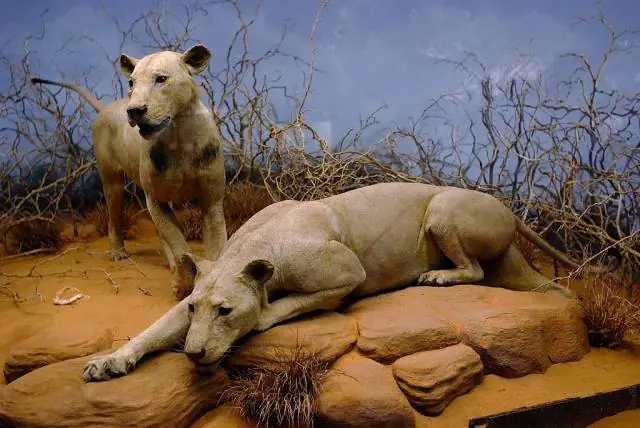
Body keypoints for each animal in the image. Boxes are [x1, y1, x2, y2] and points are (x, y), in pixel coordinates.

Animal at [31, 44, 226, 299]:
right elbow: (179, 244)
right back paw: (118, 253)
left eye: (161, 79)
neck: (179, 134)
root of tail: (106, 107)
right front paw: (183, 284)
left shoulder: (212, 199)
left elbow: (217, 245)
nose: (134, 110)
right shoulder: (155, 198)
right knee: (115, 217)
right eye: (132, 82)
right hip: (112, 181)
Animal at [82, 182, 610, 382]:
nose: (193, 354)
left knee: (476, 270)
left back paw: (438, 275)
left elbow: (286, 305)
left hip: (443, 210)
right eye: (196, 309)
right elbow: (152, 331)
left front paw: (263, 315)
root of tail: (509, 208)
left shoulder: (347, 273)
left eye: (226, 312)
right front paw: (109, 362)